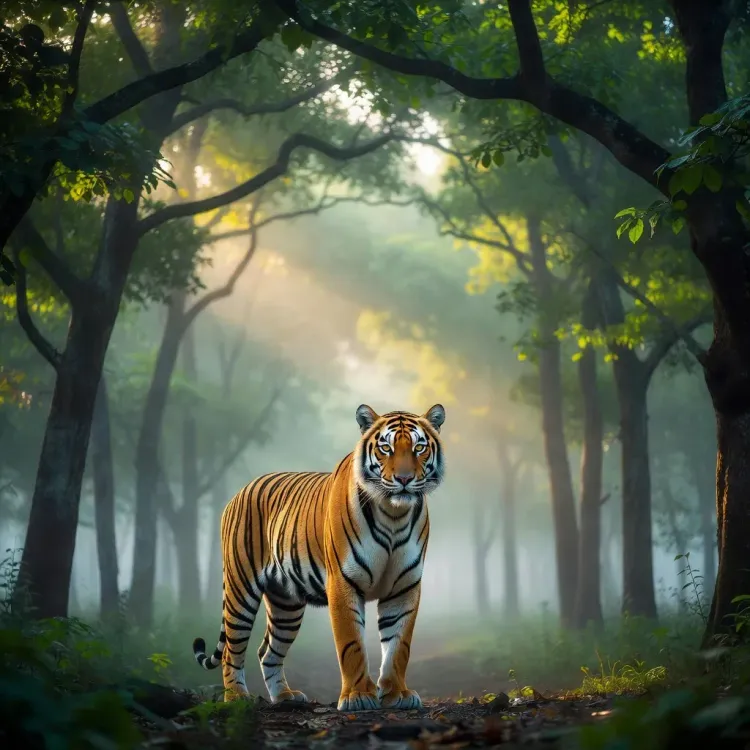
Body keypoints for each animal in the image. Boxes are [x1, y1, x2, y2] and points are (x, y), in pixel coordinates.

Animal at [192, 403, 446, 711]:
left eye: (419, 447)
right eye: (385, 448)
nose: (405, 479)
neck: (393, 514)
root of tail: (240, 491)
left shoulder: (404, 586)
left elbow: (399, 646)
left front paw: (397, 694)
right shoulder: (343, 582)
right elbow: (351, 644)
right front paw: (358, 697)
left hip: (286, 604)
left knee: (268, 651)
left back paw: (285, 697)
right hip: (240, 588)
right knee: (232, 649)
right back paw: (237, 698)